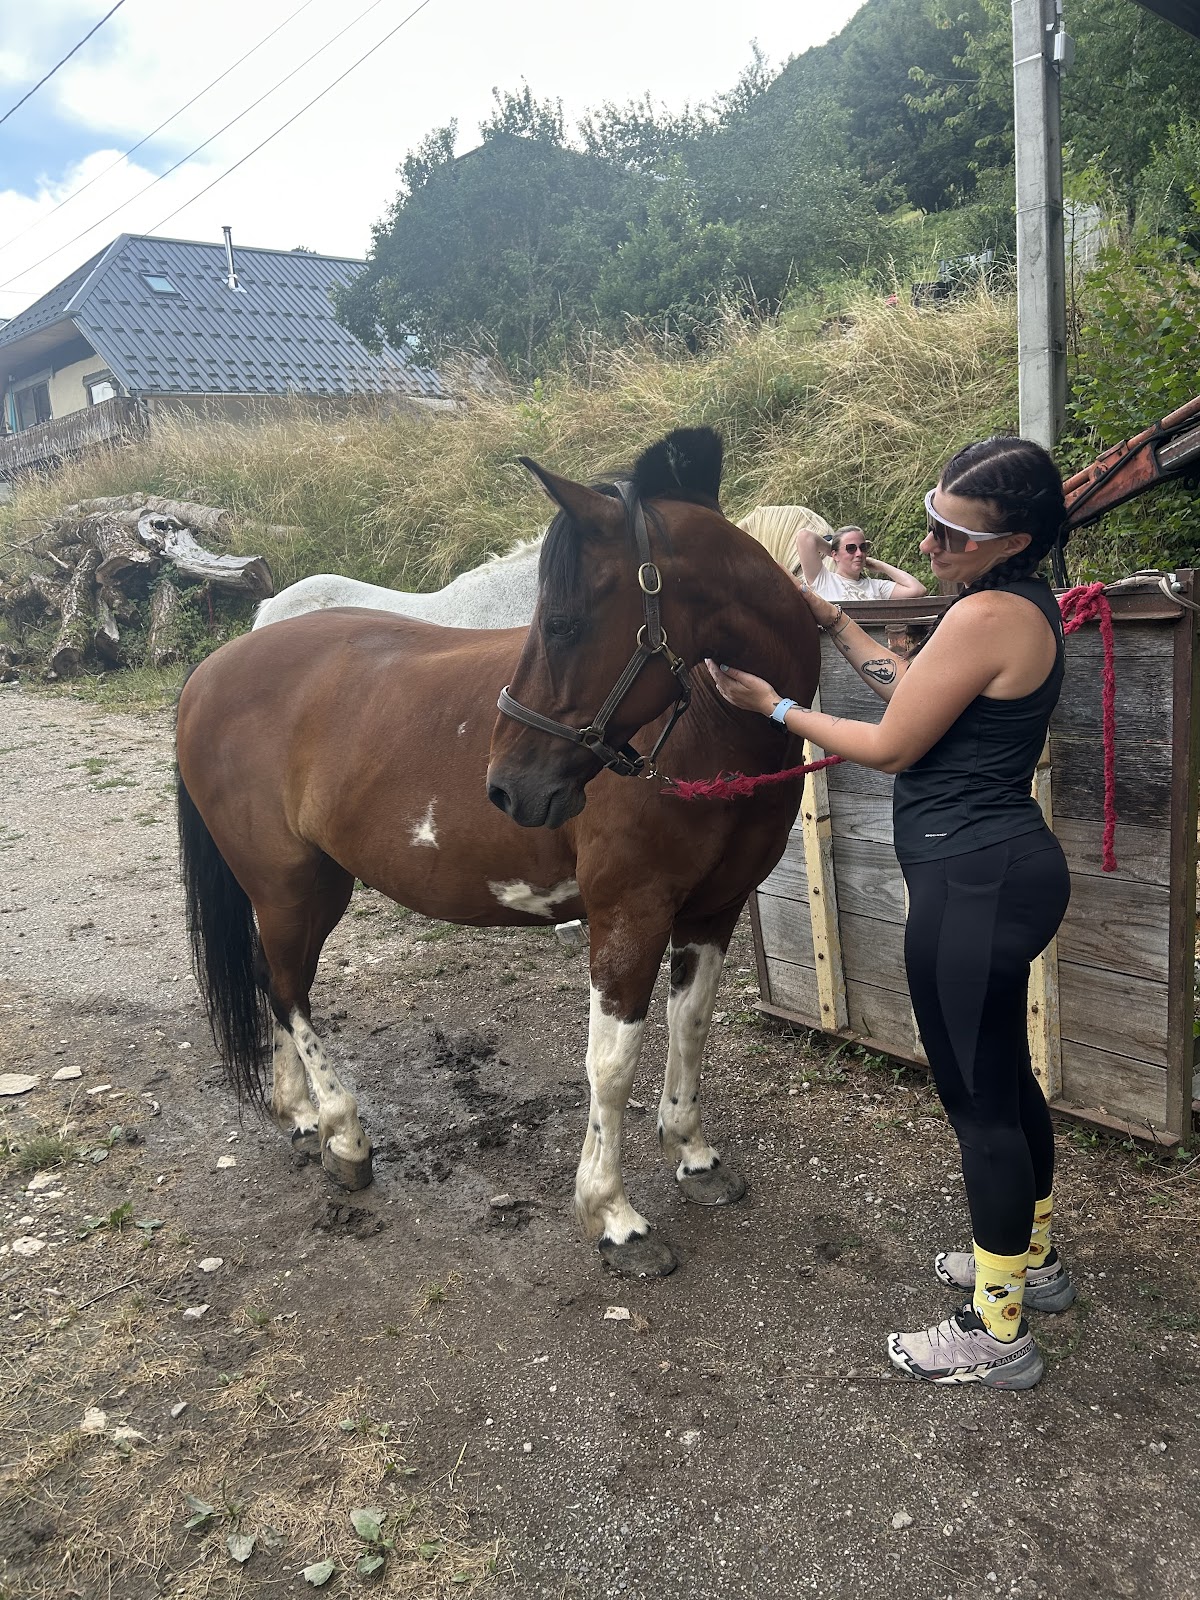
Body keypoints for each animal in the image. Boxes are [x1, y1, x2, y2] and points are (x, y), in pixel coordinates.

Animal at [175, 425, 820, 1277]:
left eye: (565, 623)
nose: (510, 788)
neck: (711, 726)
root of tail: (211, 670)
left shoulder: (712, 911)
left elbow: (693, 1029)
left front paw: (693, 1156)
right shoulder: (630, 915)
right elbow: (611, 1065)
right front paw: (613, 1216)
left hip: (316, 884)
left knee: (271, 980)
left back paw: (303, 1116)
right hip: (287, 884)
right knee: (288, 990)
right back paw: (344, 1133)